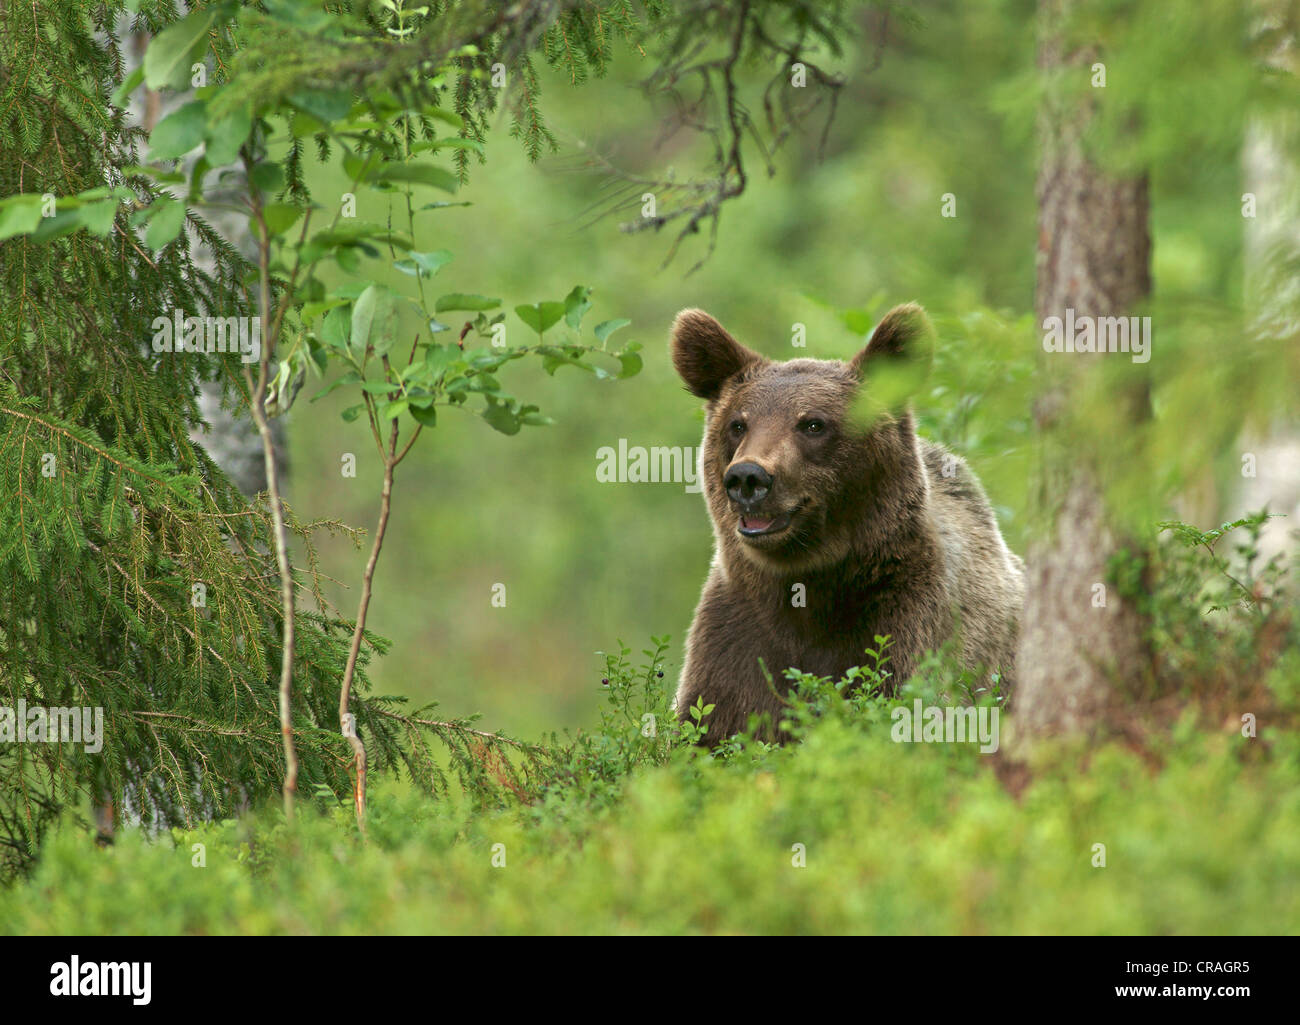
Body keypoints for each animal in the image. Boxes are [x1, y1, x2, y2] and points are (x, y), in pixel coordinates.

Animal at [670, 300, 1024, 738]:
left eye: (812, 423)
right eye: (738, 423)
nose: (748, 477)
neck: (811, 584)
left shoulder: (910, 621)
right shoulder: (736, 635)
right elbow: (713, 720)